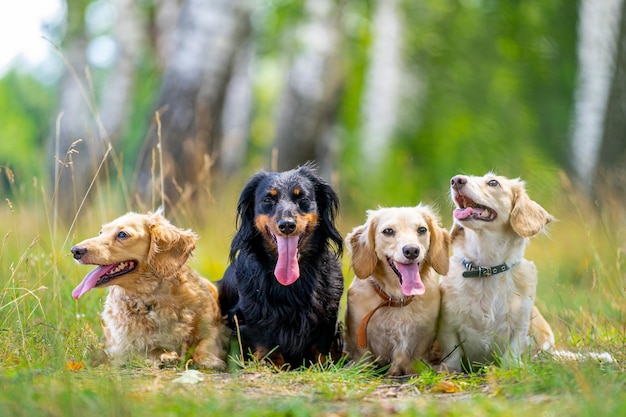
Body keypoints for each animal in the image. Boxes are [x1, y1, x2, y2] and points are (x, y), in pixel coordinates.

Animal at [71, 210, 227, 368]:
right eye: (101, 232)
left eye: (122, 234)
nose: (75, 251)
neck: (149, 300)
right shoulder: (125, 346)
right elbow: (149, 350)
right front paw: (165, 355)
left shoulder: (213, 327)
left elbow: (206, 343)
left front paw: (208, 359)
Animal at [217, 162, 344, 368]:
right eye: (268, 199)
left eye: (302, 198)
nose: (287, 225)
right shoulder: (249, 317)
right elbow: (264, 338)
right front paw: (272, 362)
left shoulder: (327, 316)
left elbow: (322, 345)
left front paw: (323, 365)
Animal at [342, 205, 448, 374]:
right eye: (388, 231)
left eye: (422, 229)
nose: (412, 250)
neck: (397, 298)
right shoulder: (360, 341)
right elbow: (364, 361)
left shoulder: (422, 339)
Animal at [434, 172, 552, 370]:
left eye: (493, 182)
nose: (456, 180)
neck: (485, 268)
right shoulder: (448, 324)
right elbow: (452, 351)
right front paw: (450, 370)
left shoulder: (520, 323)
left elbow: (512, 351)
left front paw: (511, 368)